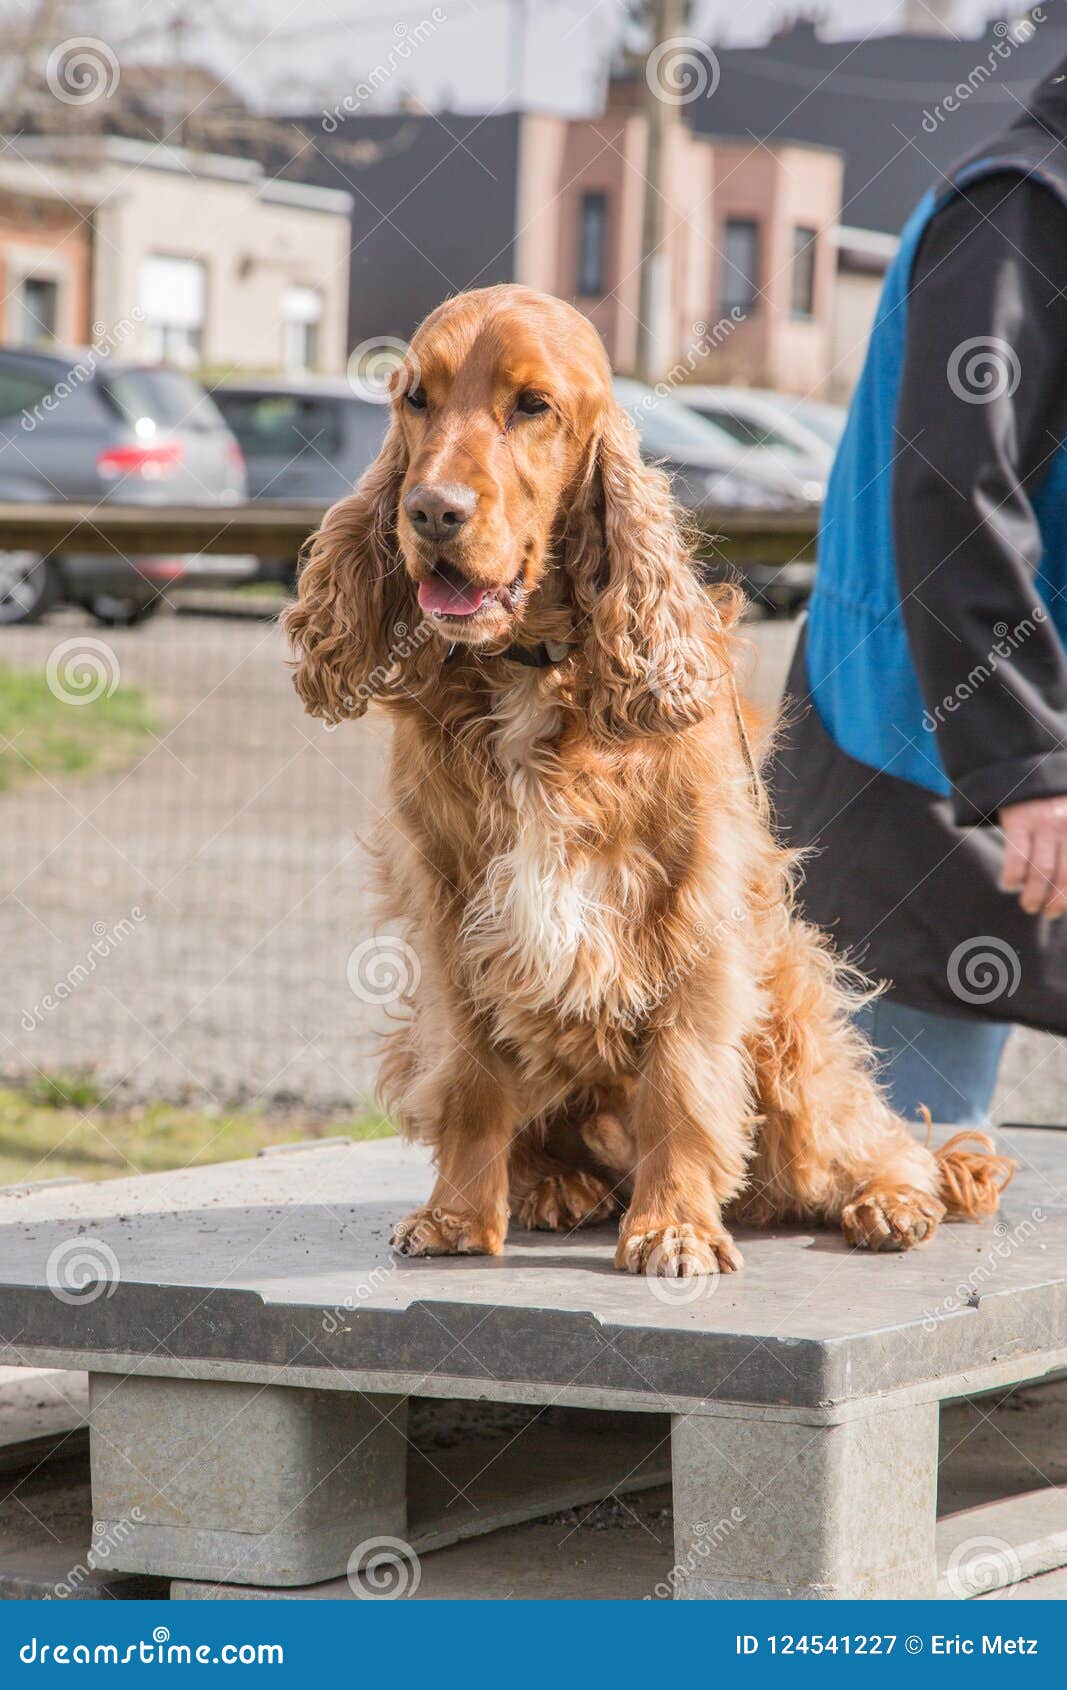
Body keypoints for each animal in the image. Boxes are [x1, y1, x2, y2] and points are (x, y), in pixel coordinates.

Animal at [282, 283, 1007, 1270]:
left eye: (532, 405)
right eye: (414, 399)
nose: (430, 511)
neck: (531, 671)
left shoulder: (691, 911)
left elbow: (682, 1084)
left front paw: (672, 1229)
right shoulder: (449, 912)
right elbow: (470, 1081)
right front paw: (458, 1216)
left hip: (789, 1022)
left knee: (868, 1136)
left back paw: (890, 1198)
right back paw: (557, 1186)